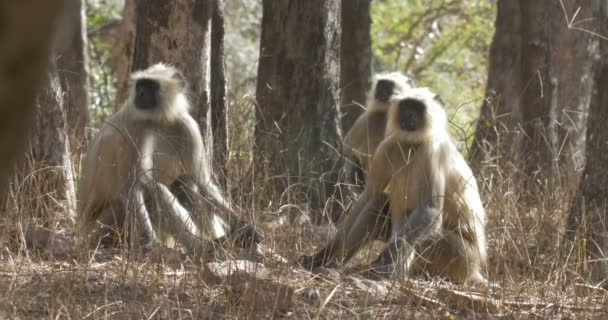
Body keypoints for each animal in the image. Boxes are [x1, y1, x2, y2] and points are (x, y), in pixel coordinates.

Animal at [77, 63, 260, 255]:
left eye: (150, 86)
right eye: (140, 85)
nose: (140, 93)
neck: (159, 120)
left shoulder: (187, 126)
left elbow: (203, 183)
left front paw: (244, 226)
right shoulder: (136, 128)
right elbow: (134, 185)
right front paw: (149, 241)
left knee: (186, 185)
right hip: (104, 229)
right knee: (153, 189)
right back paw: (204, 247)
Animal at [300, 87, 490, 284]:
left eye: (417, 108)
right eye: (405, 106)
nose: (408, 115)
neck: (413, 144)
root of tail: (474, 269)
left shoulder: (432, 151)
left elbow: (429, 209)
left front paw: (382, 260)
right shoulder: (388, 145)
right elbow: (368, 196)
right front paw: (323, 253)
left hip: (457, 256)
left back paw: (390, 273)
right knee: (378, 202)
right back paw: (331, 263)